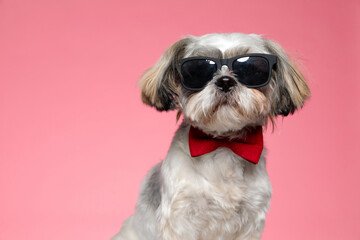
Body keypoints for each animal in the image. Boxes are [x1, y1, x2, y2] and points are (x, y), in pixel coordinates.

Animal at [112, 32, 310, 240]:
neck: (222, 144)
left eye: (252, 69)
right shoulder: (180, 218)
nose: (225, 81)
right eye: (198, 70)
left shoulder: (251, 218)